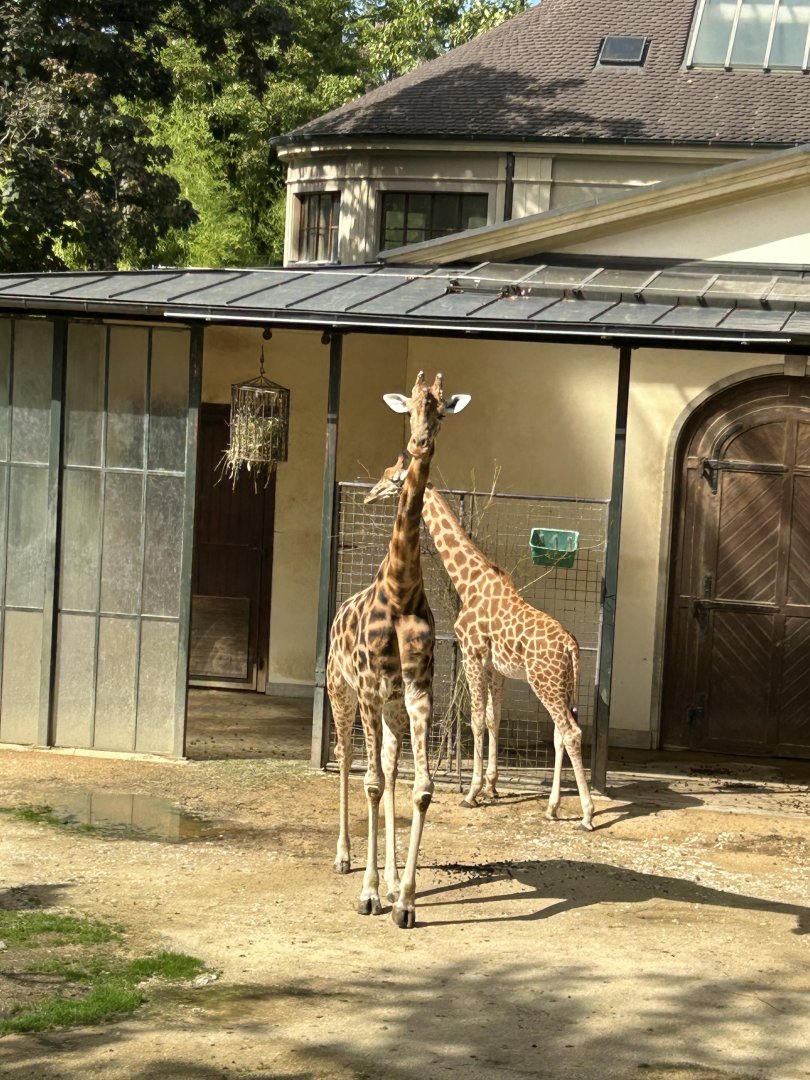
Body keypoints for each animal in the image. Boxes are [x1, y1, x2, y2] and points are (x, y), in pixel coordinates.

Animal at [327, 373, 470, 929]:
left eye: (442, 411)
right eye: (408, 409)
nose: (419, 444)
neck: (401, 589)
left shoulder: (415, 690)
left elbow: (420, 786)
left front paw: (404, 899)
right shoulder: (368, 688)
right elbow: (367, 782)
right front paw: (368, 894)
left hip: (389, 709)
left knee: (388, 769)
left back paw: (388, 879)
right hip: (341, 694)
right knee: (348, 759)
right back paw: (345, 859)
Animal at [365, 454, 594, 831]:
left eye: (390, 477)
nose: (370, 495)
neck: (468, 582)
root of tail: (572, 647)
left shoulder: (471, 652)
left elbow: (473, 719)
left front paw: (471, 793)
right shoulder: (495, 666)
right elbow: (492, 717)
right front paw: (491, 786)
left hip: (544, 682)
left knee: (571, 732)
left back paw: (588, 814)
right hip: (562, 684)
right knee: (560, 734)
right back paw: (552, 806)